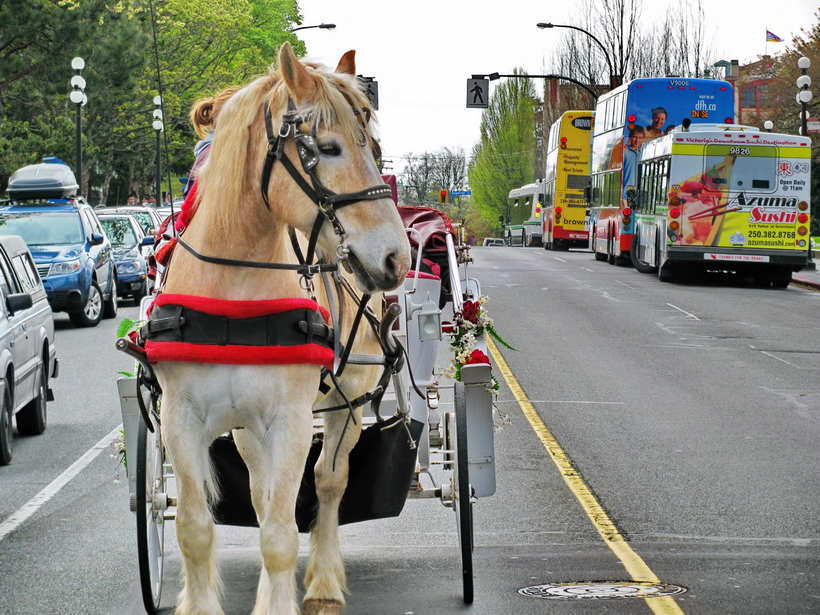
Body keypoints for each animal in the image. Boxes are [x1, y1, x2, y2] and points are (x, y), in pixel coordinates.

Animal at [148, 41, 410, 612]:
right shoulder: (181, 418)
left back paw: (323, 581)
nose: (397, 257)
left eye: (376, 148)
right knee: (264, 495)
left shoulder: (289, 419)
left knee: (328, 482)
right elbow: (196, 529)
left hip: (346, 400)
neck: (233, 288)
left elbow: (281, 536)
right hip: (248, 427)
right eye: (328, 148)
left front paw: (291, 591)